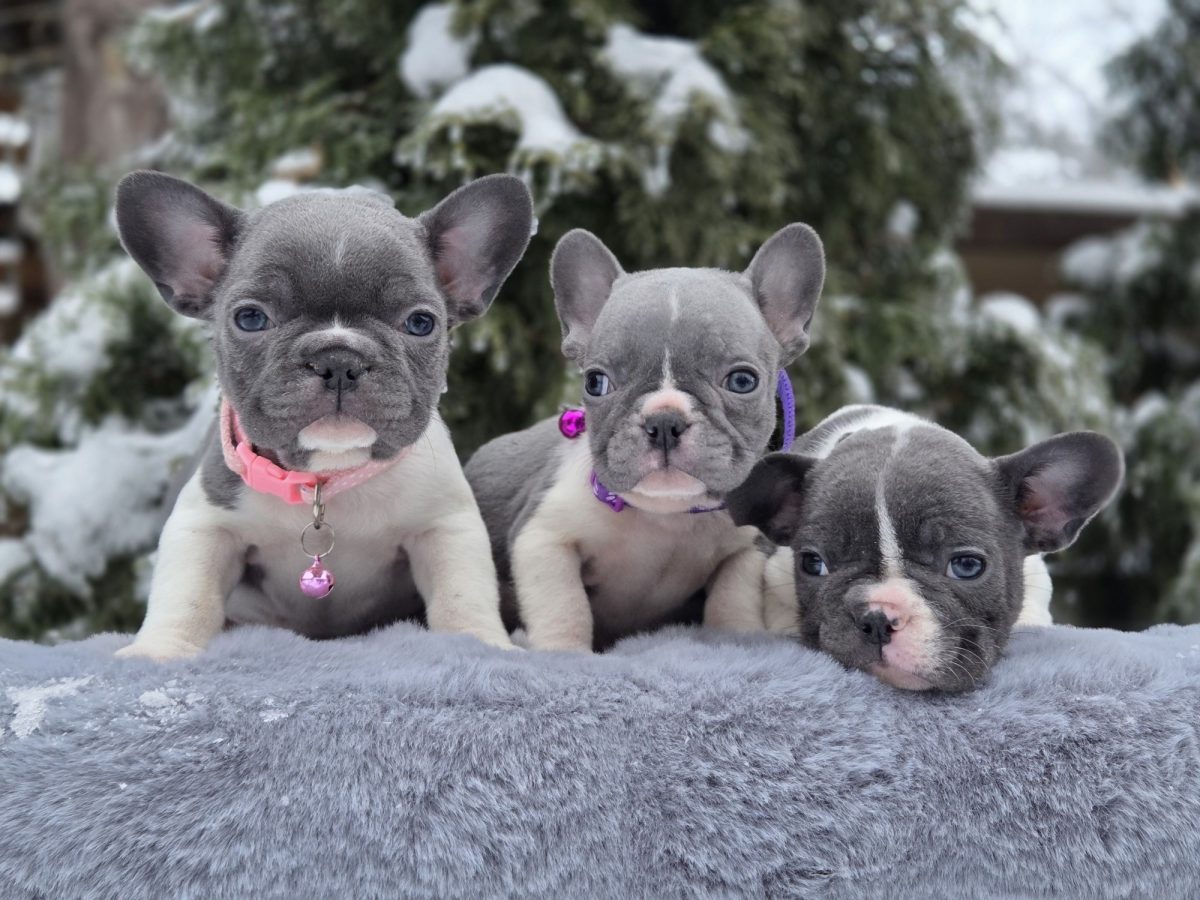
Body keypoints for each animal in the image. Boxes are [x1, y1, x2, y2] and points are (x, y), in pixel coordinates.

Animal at [113, 171, 533, 659]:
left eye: (420, 323)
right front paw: (158, 650)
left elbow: (461, 591)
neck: (327, 477)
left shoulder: (444, 525)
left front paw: (480, 642)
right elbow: (186, 594)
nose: (338, 359)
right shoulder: (206, 523)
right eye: (251, 318)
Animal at [465, 224, 825, 650]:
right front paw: (565, 652)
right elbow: (564, 605)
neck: (665, 516)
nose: (665, 422)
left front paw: (735, 639)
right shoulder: (543, 539)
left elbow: (733, 598)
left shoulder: (746, 549)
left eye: (741, 381)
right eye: (596, 382)